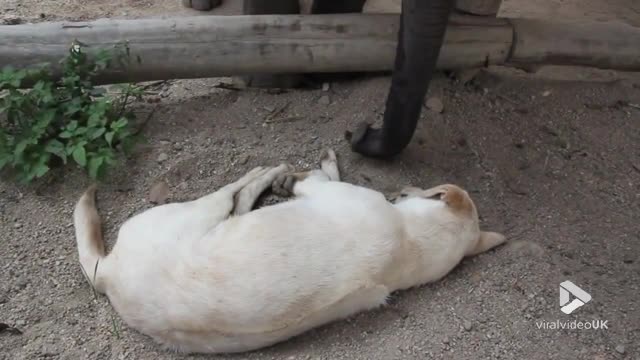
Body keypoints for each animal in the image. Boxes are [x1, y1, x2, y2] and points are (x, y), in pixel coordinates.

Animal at [74, 149, 504, 354]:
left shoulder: (325, 191)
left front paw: (298, 175)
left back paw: (261, 174)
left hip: (195, 211)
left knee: (233, 192)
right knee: (238, 200)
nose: (401, 190)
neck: (411, 244)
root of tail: (106, 274)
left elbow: (316, 177)